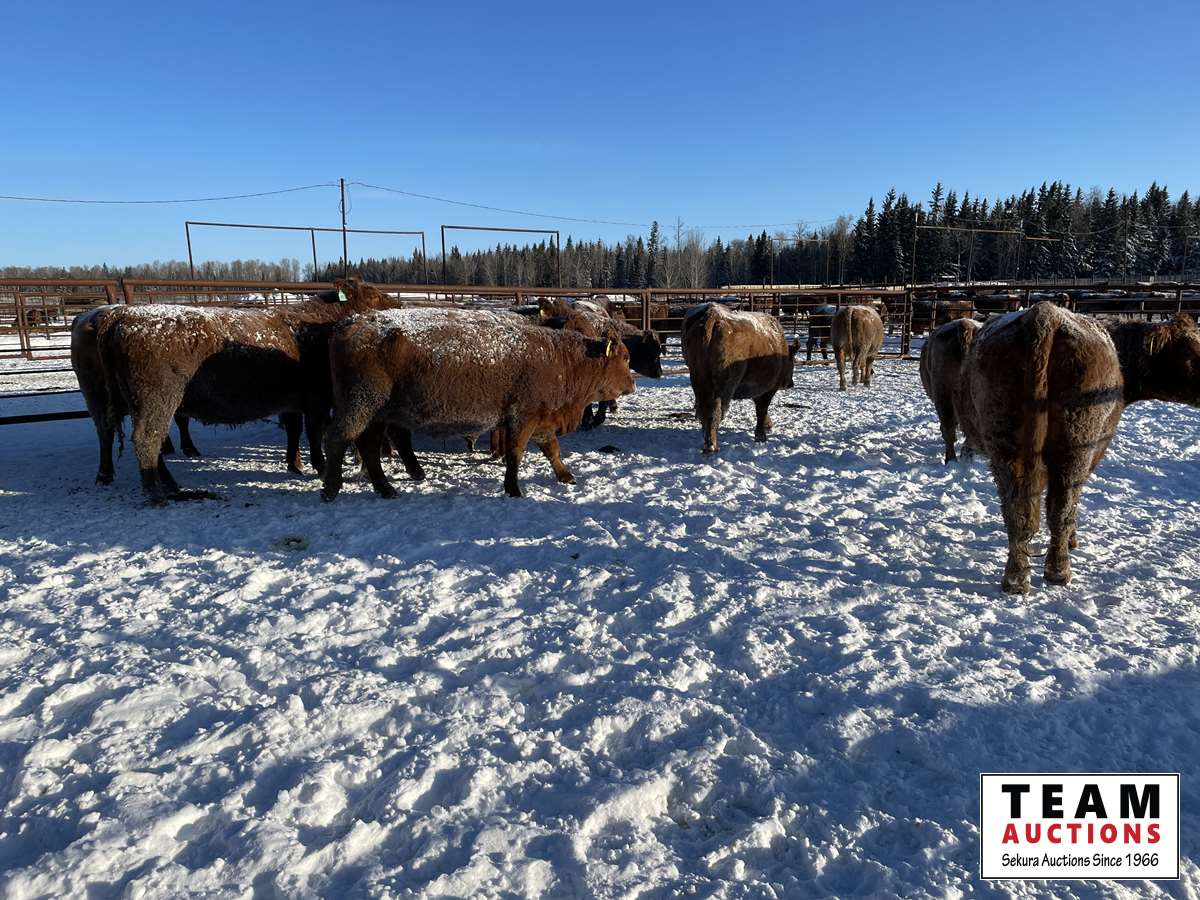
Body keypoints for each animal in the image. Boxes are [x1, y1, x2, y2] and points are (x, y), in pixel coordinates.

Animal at [90, 279, 390, 504]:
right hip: (156, 401)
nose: (396, 304)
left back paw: (170, 485)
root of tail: (123, 315)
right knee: (147, 440)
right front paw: (320, 466)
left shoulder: (293, 402)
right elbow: (315, 433)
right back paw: (158, 495)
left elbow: (295, 430)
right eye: (374, 296)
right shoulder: (316, 400)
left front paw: (295, 464)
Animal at [320, 308, 636, 500]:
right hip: (360, 407)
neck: (562, 359)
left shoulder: (542, 420)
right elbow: (516, 454)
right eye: (625, 357)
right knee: (338, 438)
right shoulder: (522, 419)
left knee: (370, 446)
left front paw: (566, 476)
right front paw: (514, 489)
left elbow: (552, 451)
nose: (632, 385)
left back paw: (389, 487)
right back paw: (331, 490)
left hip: (378, 414)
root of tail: (348, 324)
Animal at [681, 303, 800, 454]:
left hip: (699, 380)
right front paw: (761, 435)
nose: (790, 384)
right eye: (792, 361)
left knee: (703, 410)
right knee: (715, 412)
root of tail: (712, 315)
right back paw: (712, 445)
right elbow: (762, 409)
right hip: (723, 387)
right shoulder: (768, 390)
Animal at [960, 304, 1200, 593]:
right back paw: (1059, 570)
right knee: (1061, 505)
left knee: (1017, 509)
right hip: (1076, 446)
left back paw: (1016, 579)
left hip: (1006, 445)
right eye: (1189, 351)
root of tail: (1044, 314)